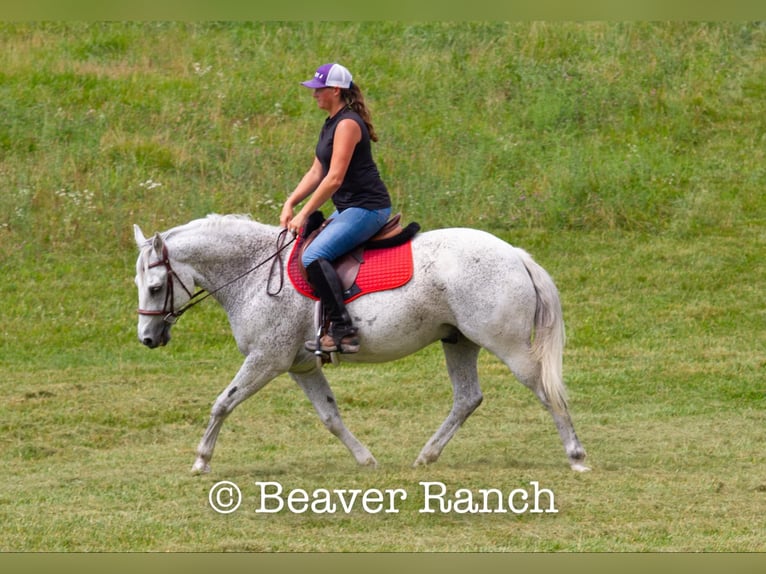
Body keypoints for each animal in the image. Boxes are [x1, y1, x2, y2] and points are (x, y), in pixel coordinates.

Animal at [133, 214, 589, 474]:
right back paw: (426, 456)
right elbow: (330, 417)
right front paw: (365, 460)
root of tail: (514, 254)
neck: (256, 271)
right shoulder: (301, 366)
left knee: (546, 391)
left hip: (507, 346)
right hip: (458, 341)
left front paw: (201, 459)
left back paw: (576, 456)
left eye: (155, 287)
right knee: (467, 398)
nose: (147, 339)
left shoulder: (267, 360)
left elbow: (222, 403)